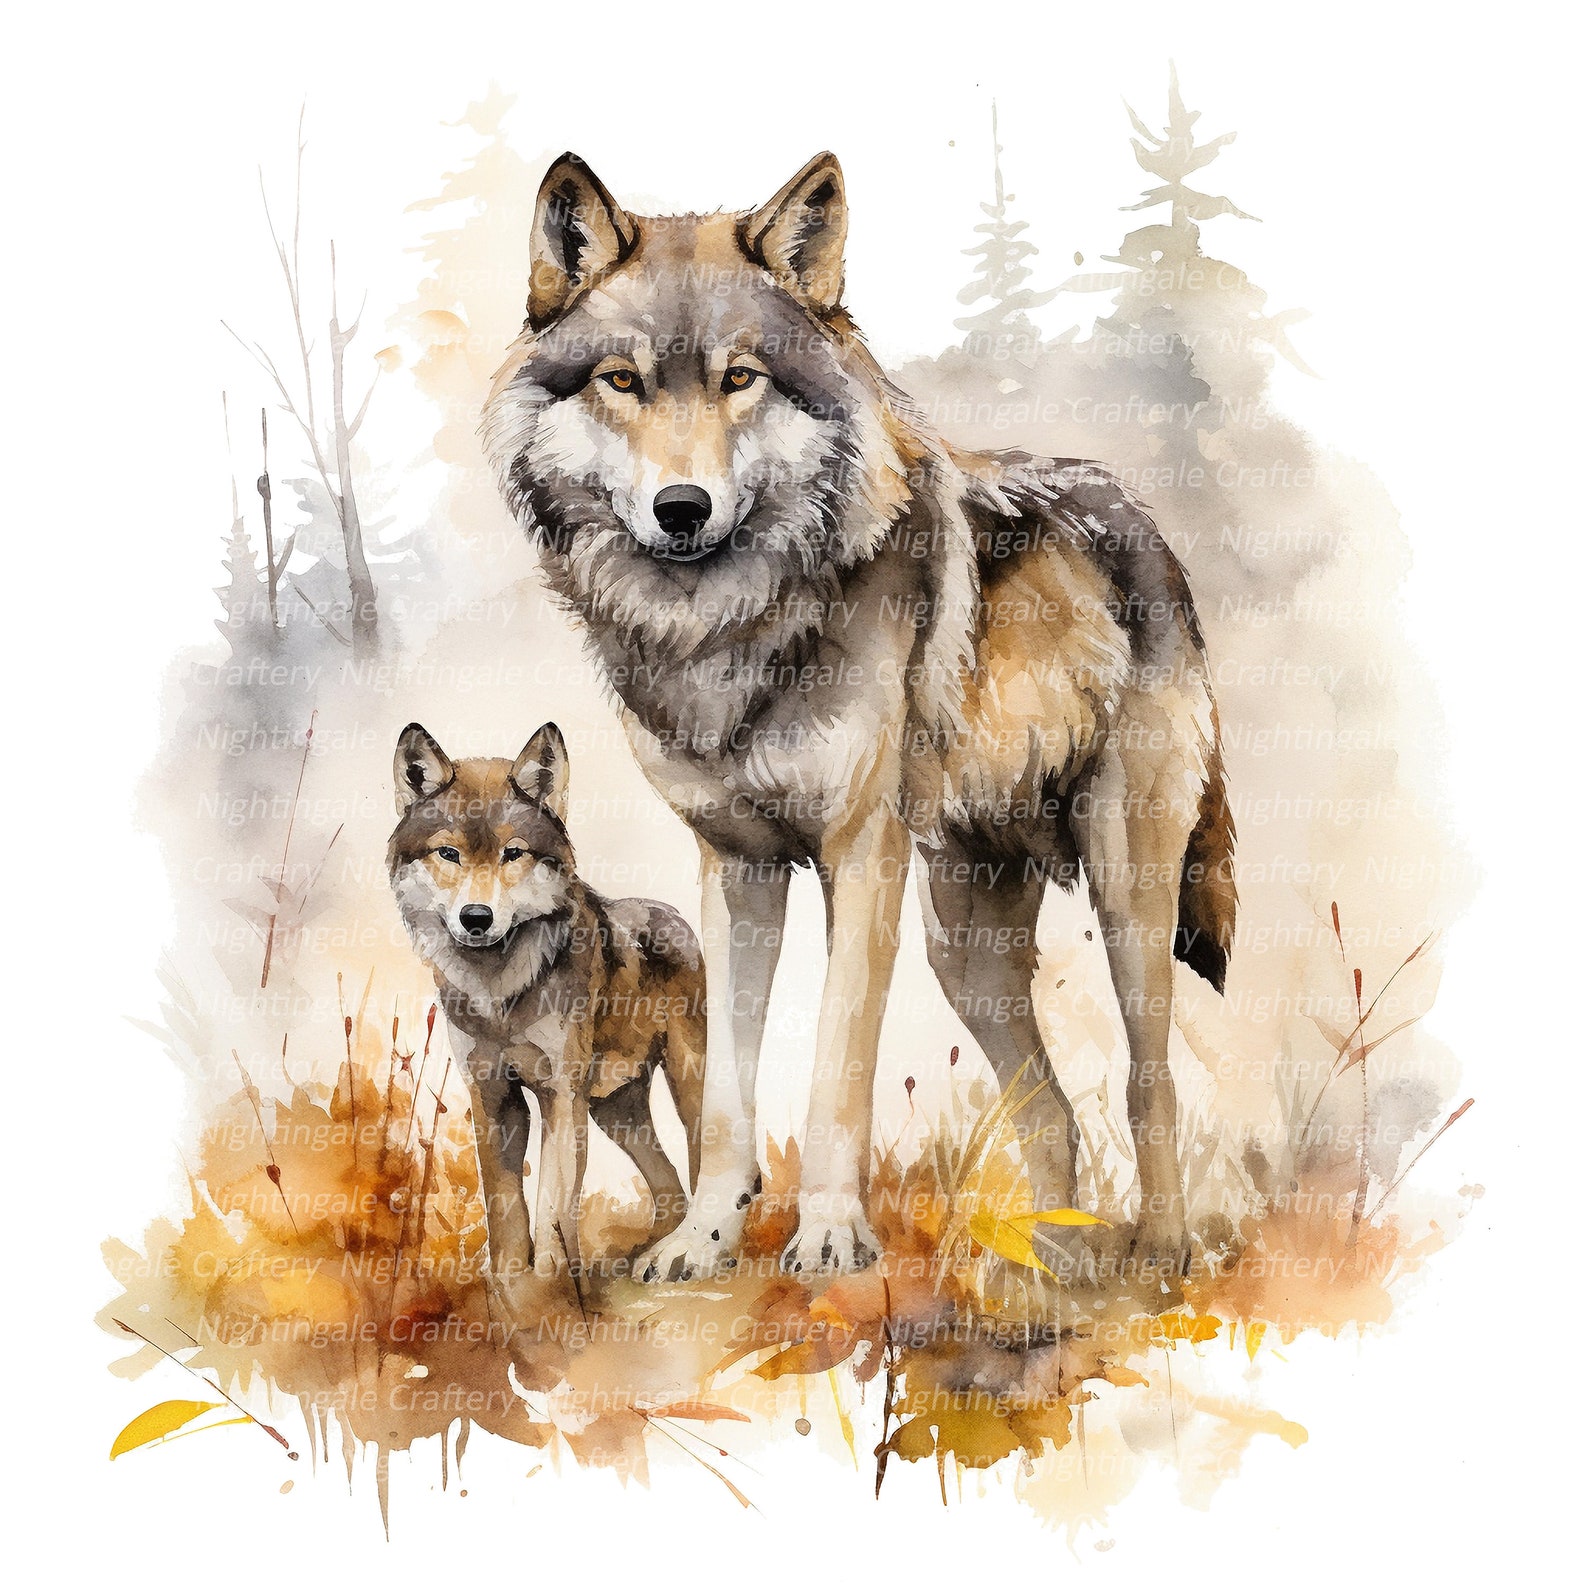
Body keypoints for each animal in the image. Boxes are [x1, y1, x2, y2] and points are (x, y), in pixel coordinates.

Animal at [387, 721, 706, 1313]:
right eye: (448, 853)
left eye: (513, 853)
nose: (477, 917)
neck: (499, 995)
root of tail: (672, 912)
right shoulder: (493, 1096)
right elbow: (506, 1209)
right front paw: (512, 1296)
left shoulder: (560, 1095)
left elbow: (554, 1206)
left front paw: (554, 1294)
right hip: (614, 1111)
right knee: (668, 1187)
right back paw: (643, 1255)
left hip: (681, 1087)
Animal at [482, 152, 1236, 1283]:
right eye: (622, 380)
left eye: (740, 378)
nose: (681, 509)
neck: (732, 630)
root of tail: (1144, 521)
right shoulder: (737, 868)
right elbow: (725, 1093)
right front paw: (704, 1236)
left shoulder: (859, 853)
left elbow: (836, 1070)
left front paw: (832, 1234)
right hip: (963, 947)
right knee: (1051, 1111)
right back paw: (1048, 1267)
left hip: (1126, 896)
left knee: (1151, 1083)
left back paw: (1159, 1251)